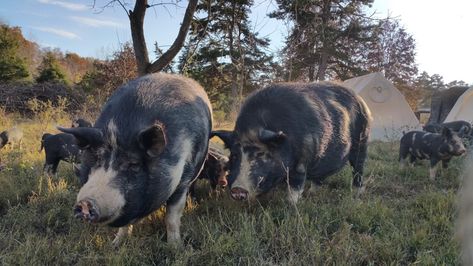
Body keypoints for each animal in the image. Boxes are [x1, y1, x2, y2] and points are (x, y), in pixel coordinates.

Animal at [57, 72, 210, 245]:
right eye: (96, 158)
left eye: (133, 164)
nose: (85, 203)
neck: (121, 130)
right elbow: (125, 226)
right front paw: (115, 245)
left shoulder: (183, 180)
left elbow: (172, 217)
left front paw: (176, 247)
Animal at [212, 82, 370, 203]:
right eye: (234, 155)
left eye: (261, 154)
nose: (238, 189)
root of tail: (362, 102)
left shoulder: (302, 162)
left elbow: (295, 187)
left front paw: (291, 206)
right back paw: (312, 193)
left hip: (362, 143)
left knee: (358, 169)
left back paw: (357, 195)